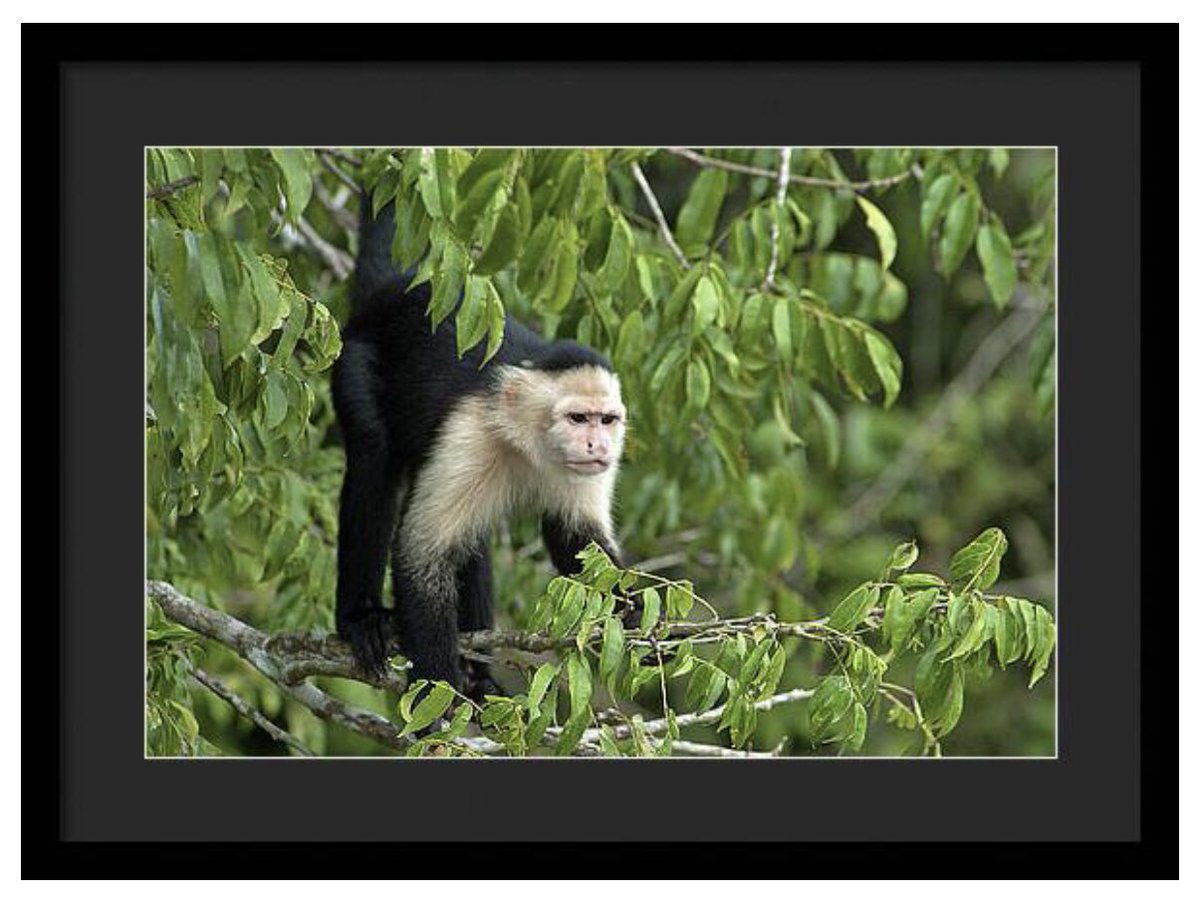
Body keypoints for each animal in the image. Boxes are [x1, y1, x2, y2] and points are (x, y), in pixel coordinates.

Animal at [331, 196, 626, 700]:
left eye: (606, 420)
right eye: (577, 418)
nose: (597, 444)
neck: (526, 440)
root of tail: (396, 287)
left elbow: (577, 542)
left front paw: (641, 619)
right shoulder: (469, 433)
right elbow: (421, 555)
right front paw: (437, 695)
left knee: (471, 536)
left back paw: (477, 672)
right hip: (354, 359)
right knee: (374, 458)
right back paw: (360, 618)